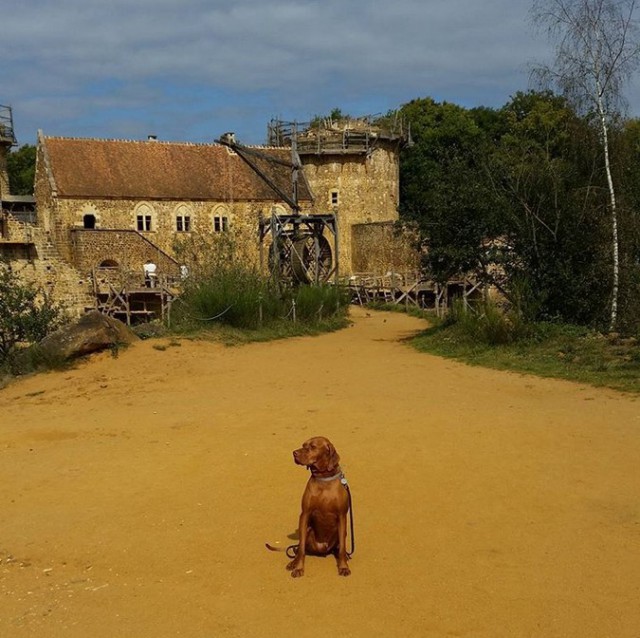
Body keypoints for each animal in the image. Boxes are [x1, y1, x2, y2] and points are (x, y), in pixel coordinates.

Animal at [288, 436, 352, 580]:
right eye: (303, 445)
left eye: (312, 447)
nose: (294, 453)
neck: (324, 478)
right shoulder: (305, 514)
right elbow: (301, 549)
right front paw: (298, 568)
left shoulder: (342, 515)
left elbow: (342, 548)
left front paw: (343, 567)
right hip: (308, 530)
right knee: (299, 547)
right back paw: (293, 562)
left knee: (339, 547)